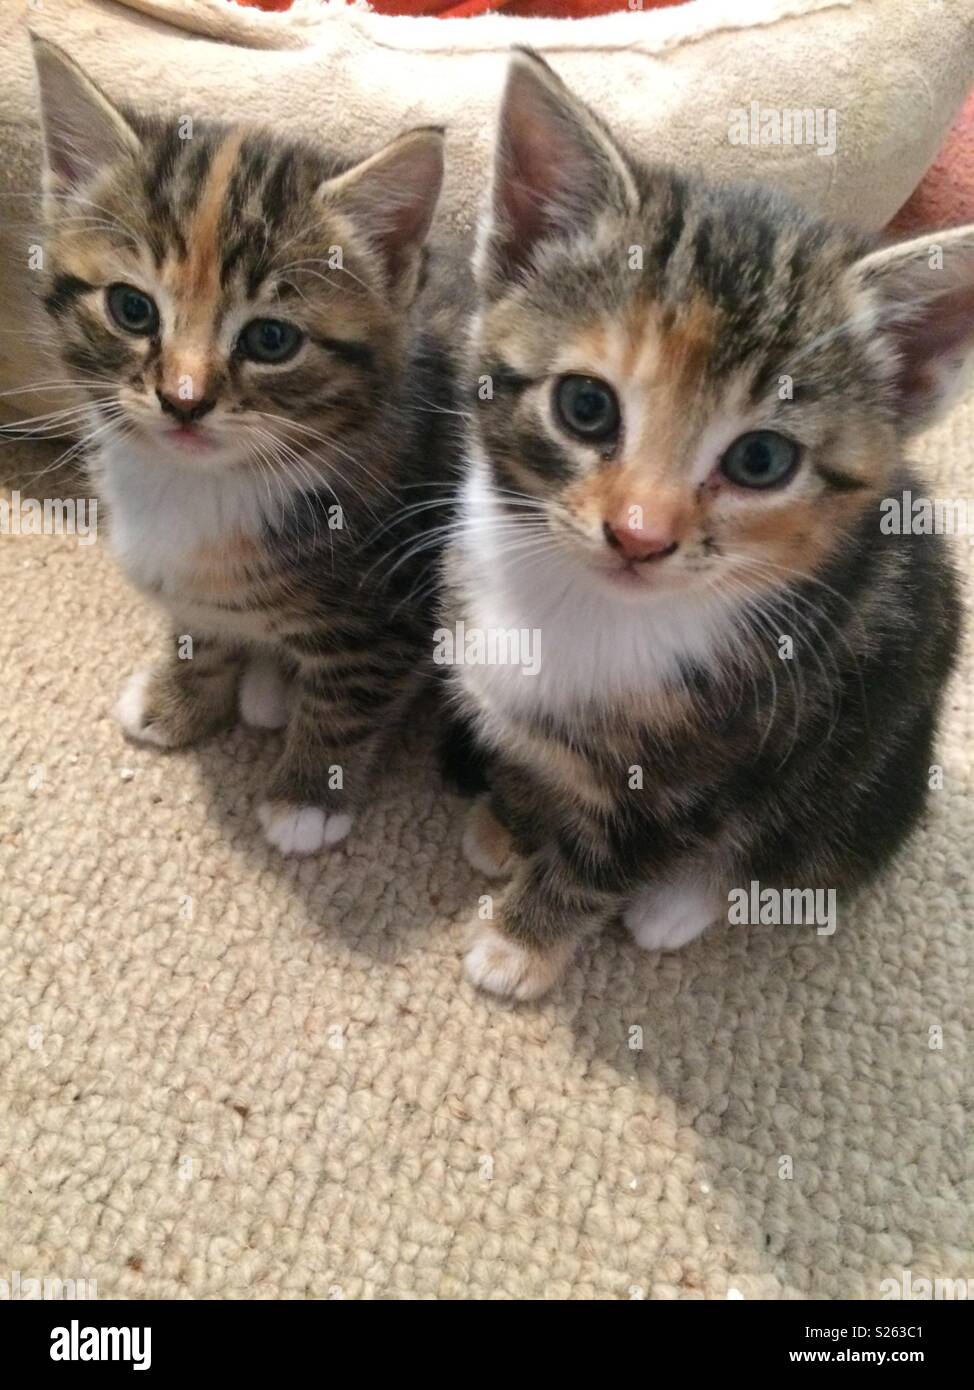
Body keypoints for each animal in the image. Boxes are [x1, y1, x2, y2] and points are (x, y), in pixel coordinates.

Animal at [29, 38, 455, 850]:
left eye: (271, 340)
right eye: (131, 308)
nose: (184, 399)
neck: (200, 484)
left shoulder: (395, 603)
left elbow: (351, 691)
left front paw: (308, 794)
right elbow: (201, 630)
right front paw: (181, 699)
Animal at [447, 48, 967, 995]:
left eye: (761, 461)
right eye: (585, 406)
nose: (639, 534)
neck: (576, 605)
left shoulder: (718, 768)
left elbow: (610, 859)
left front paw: (521, 942)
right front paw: (508, 819)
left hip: (865, 761)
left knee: (800, 846)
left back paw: (678, 904)